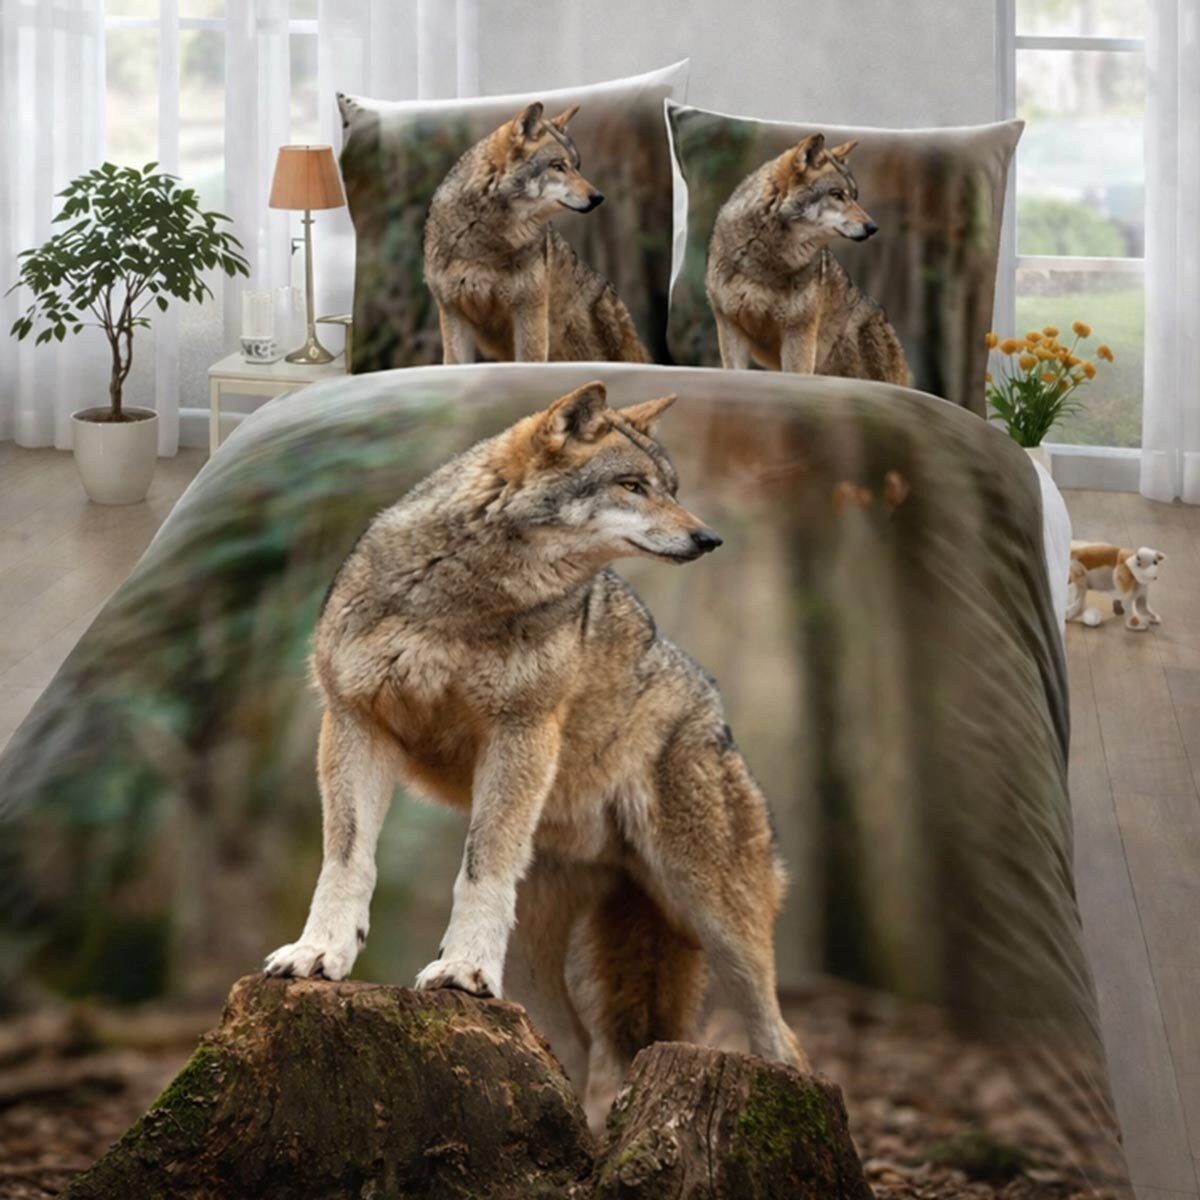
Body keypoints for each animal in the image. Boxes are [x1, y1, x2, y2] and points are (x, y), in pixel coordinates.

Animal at [264, 381, 805, 1111]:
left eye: (670, 488)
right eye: (633, 486)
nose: (709, 538)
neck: (464, 595)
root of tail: (715, 712)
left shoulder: (520, 728)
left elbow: (482, 862)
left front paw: (462, 969)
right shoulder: (356, 721)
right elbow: (347, 860)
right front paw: (319, 954)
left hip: (717, 921)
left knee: (783, 1041)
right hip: (550, 958)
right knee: (575, 1048)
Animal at [706, 132, 910, 383]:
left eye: (854, 197)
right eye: (837, 194)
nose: (873, 227)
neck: (766, 258)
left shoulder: (799, 331)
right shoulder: (730, 327)